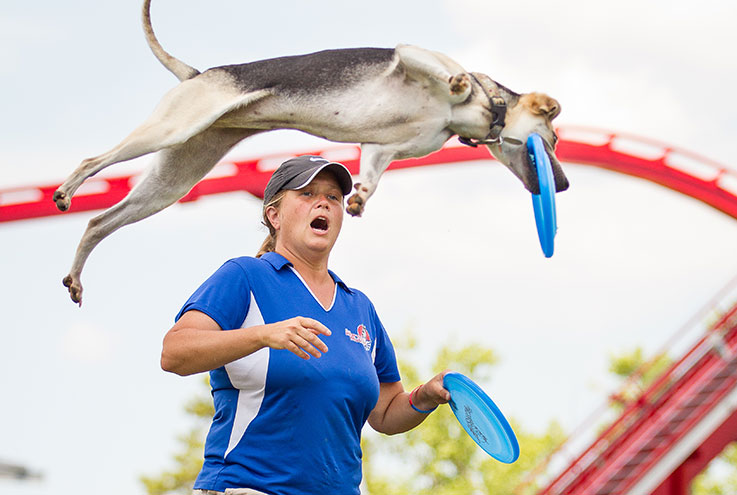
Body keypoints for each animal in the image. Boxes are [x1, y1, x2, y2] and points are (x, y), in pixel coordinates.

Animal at [53, 0, 568, 304]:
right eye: (556, 138)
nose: (561, 183)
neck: (486, 108)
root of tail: (197, 73)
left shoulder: (382, 149)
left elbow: (370, 176)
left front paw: (359, 198)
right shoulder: (411, 55)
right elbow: (446, 71)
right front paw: (458, 81)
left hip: (172, 178)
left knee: (98, 222)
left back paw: (77, 274)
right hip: (169, 129)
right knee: (91, 162)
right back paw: (66, 189)